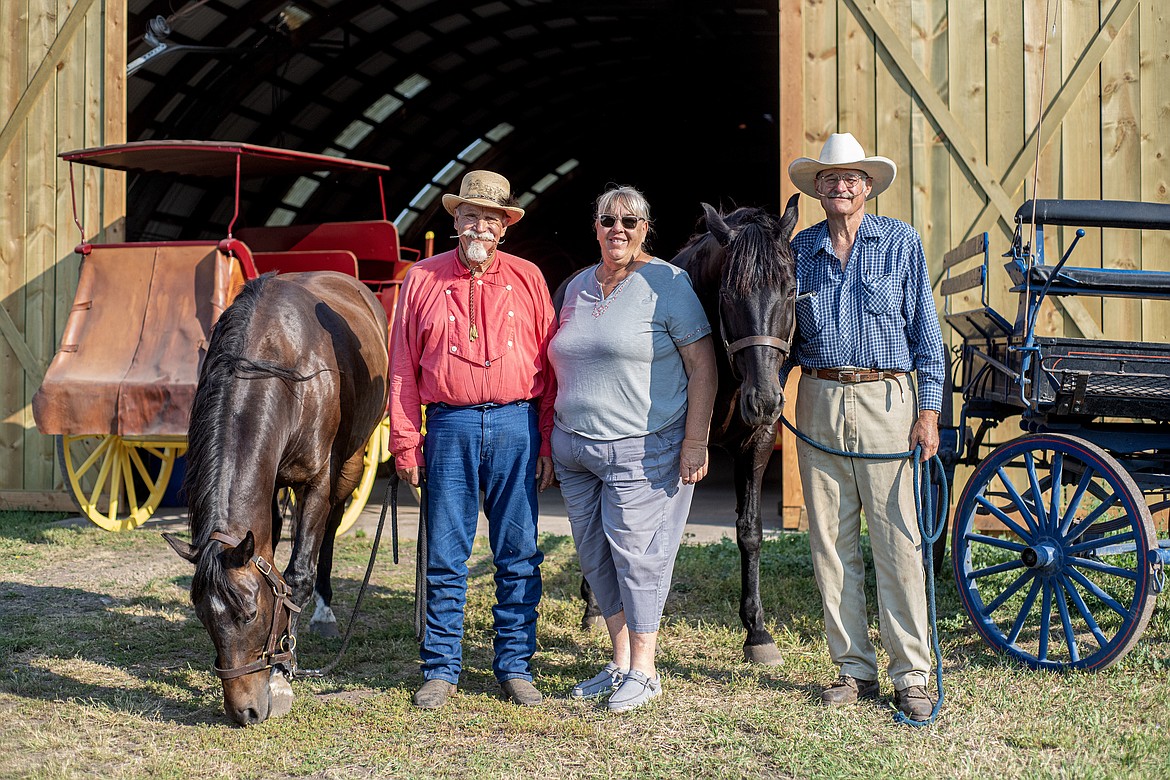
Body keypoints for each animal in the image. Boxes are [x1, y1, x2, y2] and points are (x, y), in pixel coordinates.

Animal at [162, 271, 388, 725]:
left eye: (250, 613)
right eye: (201, 615)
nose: (244, 712)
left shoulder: (316, 481)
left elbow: (297, 575)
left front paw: (283, 674)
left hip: (351, 464)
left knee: (330, 528)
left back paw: (324, 611)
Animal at [559, 196, 800, 664]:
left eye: (791, 289)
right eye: (727, 294)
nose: (764, 401)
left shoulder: (757, 442)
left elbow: (750, 531)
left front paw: (757, 632)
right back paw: (593, 608)